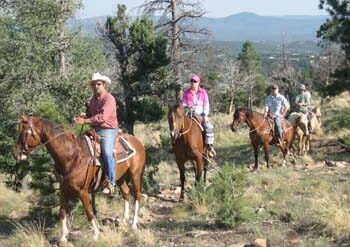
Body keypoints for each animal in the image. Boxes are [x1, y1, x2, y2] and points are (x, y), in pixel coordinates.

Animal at [13, 115, 146, 242]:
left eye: (25, 132)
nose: (15, 153)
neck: (72, 156)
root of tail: (137, 141)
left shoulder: (83, 192)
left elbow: (89, 212)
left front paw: (95, 234)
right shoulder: (63, 189)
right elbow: (62, 212)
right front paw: (63, 237)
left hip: (135, 174)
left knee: (137, 195)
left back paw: (133, 224)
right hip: (120, 177)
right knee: (126, 192)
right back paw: (124, 220)